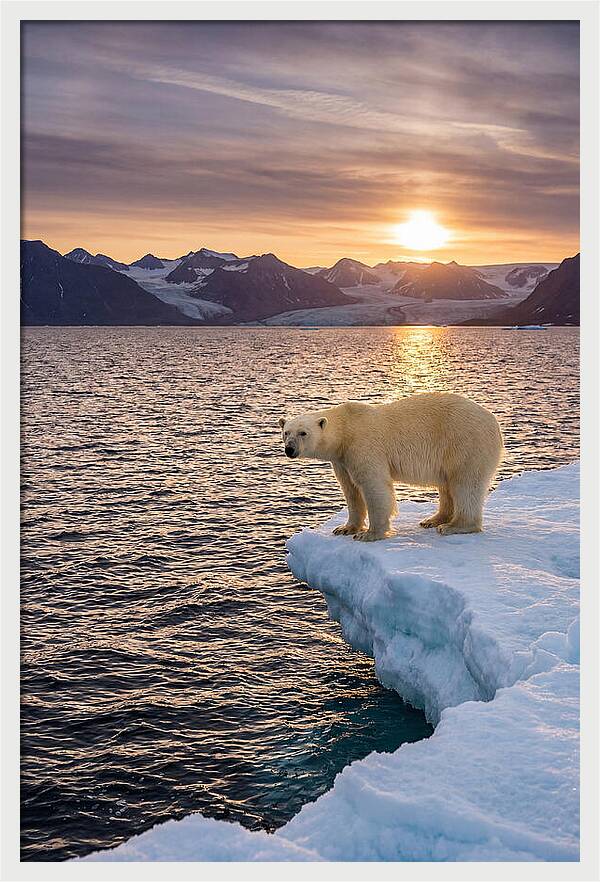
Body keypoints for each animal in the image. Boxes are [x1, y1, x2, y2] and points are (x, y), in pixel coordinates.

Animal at [279, 392, 503, 541]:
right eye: (286, 432)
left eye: (303, 433)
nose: (290, 449)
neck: (346, 429)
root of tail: (495, 422)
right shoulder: (342, 459)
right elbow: (350, 490)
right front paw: (345, 528)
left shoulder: (363, 446)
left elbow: (374, 486)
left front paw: (369, 534)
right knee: (447, 485)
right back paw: (433, 520)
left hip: (465, 443)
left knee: (465, 483)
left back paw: (453, 526)